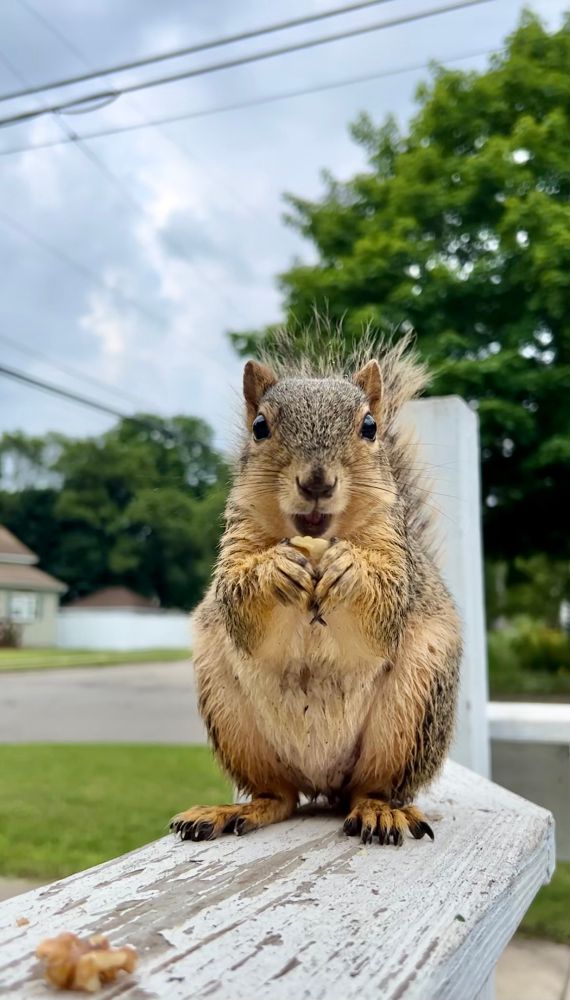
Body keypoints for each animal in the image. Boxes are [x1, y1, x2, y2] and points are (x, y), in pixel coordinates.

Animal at [171, 334, 462, 846]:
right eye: (260, 427)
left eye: (369, 427)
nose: (317, 481)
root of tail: (323, 781)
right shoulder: (236, 548)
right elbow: (238, 604)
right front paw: (275, 569)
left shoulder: (397, 563)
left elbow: (384, 605)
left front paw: (350, 569)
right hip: (233, 721)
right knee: (278, 796)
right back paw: (230, 810)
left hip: (411, 715)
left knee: (372, 788)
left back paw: (378, 811)